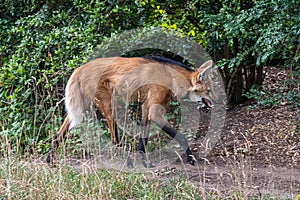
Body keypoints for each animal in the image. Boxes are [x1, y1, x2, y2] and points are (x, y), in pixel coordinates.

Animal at [47, 55, 213, 166]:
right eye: (209, 91)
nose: (216, 101)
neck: (172, 78)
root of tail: (80, 68)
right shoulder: (154, 111)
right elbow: (181, 136)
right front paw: (190, 158)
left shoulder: (146, 108)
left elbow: (142, 141)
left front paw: (145, 162)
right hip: (107, 105)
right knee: (114, 139)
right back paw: (127, 162)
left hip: (83, 106)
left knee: (58, 135)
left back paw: (49, 160)